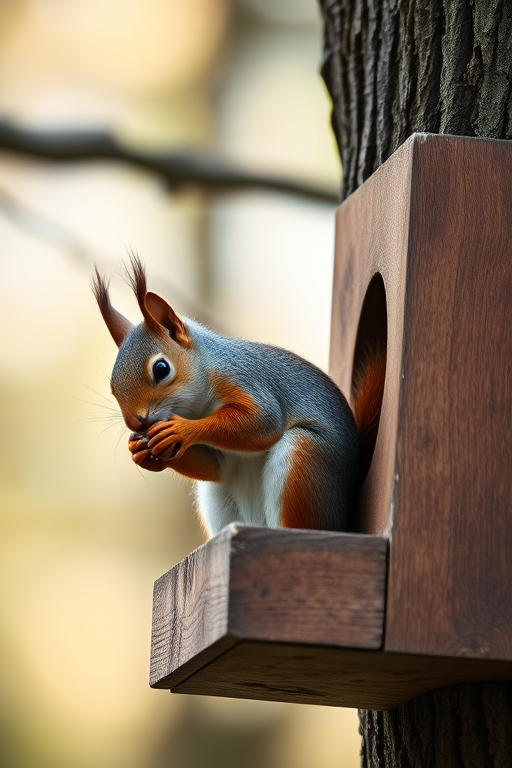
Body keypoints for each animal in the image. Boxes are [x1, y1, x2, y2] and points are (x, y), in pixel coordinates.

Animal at [92, 256, 385, 537]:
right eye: (113, 388)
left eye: (161, 369)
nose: (135, 423)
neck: (198, 405)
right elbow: (214, 467)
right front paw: (140, 450)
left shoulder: (246, 379)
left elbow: (263, 422)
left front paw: (182, 430)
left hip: (306, 458)